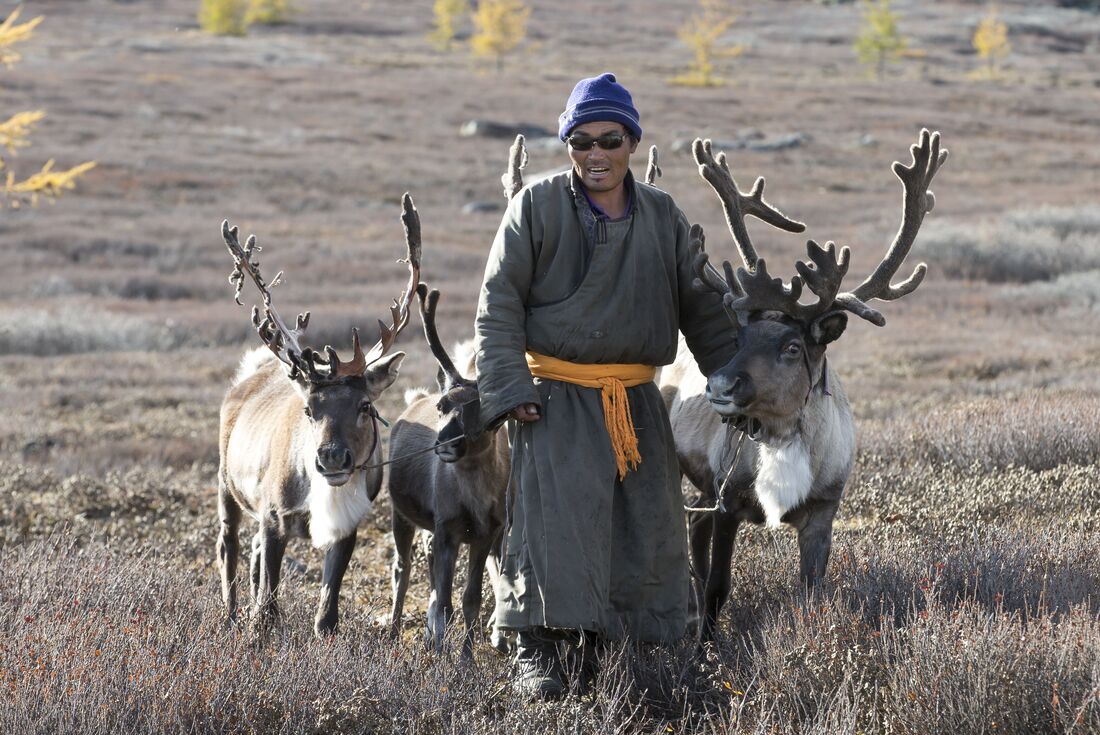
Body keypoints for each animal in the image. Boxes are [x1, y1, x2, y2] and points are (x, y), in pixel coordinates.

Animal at [216, 193, 421, 637]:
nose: (330, 458)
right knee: (230, 546)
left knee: (251, 552)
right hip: (226, 483)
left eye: (365, 406)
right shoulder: (274, 517)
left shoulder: (348, 526)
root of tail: (248, 374)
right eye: (309, 409)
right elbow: (268, 607)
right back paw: (229, 615)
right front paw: (256, 636)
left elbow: (327, 613)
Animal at [386, 283, 511, 658]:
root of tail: (413, 400)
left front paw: (466, 658)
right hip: (401, 514)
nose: (445, 442)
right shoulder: (447, 530)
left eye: (489, 416)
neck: (474, 500)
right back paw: (394, 633)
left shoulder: (485, 534)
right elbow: (445, 603)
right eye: (443, 406)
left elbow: (470, 599)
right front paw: (442, 656)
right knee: (402, 569)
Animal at [660, 129, 947, 641]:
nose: (719, 385)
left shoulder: (823, 512)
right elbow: (718, 585)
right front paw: (706, 646)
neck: (782, 438)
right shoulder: (729, 501)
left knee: (695, 526)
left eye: (793, 346)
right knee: (691, 535)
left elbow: (811, 592)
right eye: (738, 337)